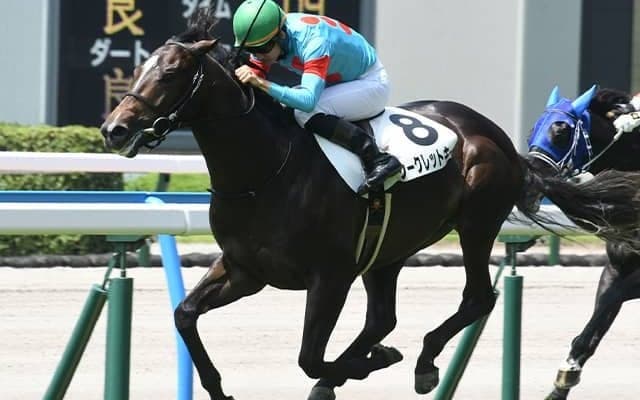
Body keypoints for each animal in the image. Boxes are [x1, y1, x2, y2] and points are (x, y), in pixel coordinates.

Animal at [527, 85, 640, 400]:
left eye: (561, 131)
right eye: (532, 131)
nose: (530, 179)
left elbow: (611, 301)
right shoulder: (614, 268)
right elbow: (593, 328)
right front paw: (562, 382)